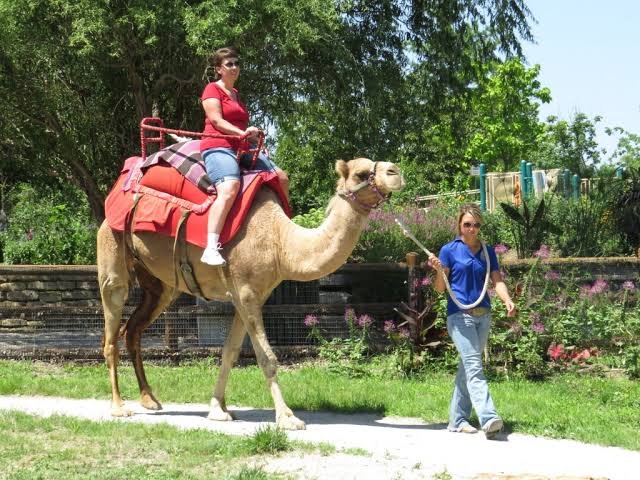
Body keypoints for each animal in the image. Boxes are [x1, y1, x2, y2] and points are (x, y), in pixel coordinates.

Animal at [97, 157, 405, 430]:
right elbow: (266, 357)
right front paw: (287, 418)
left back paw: (149, 399)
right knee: (112, 329)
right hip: (112, 256)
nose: (396, 172)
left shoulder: (248, 295)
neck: (281, 243)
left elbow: (230, 352)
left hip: (161, 285)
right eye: (361, 173)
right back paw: (118, 406)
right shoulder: (246, 293)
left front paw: (218, 409)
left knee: (133, 329)